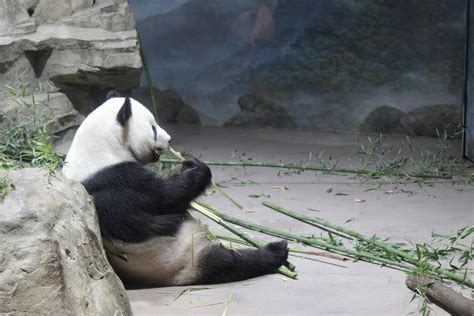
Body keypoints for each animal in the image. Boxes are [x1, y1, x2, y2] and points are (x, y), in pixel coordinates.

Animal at [63, 95, 288, 288]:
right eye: (153, 128)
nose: (170, 139)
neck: (101, 149)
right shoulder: (115, 180)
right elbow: (161, 203)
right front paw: (198, 171)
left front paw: (188, 163)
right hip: (182, 260)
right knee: (228, 262)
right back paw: (274, 252)